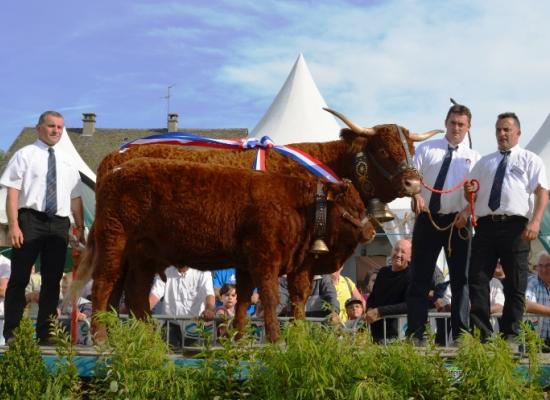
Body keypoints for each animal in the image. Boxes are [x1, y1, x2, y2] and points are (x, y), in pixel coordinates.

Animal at [74, 159, 376, 340]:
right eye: (354, 206)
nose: (372, 231)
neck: (299, 207)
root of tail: (115, 172)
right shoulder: (264, 259)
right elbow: (269, 298)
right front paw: (277, 339)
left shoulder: (253, 265)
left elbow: (245, 300)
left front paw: (245, 338)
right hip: (114, 246)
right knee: (103, 287)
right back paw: (102, 338)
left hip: (140, 258)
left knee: (131, 294)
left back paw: (141, 337)